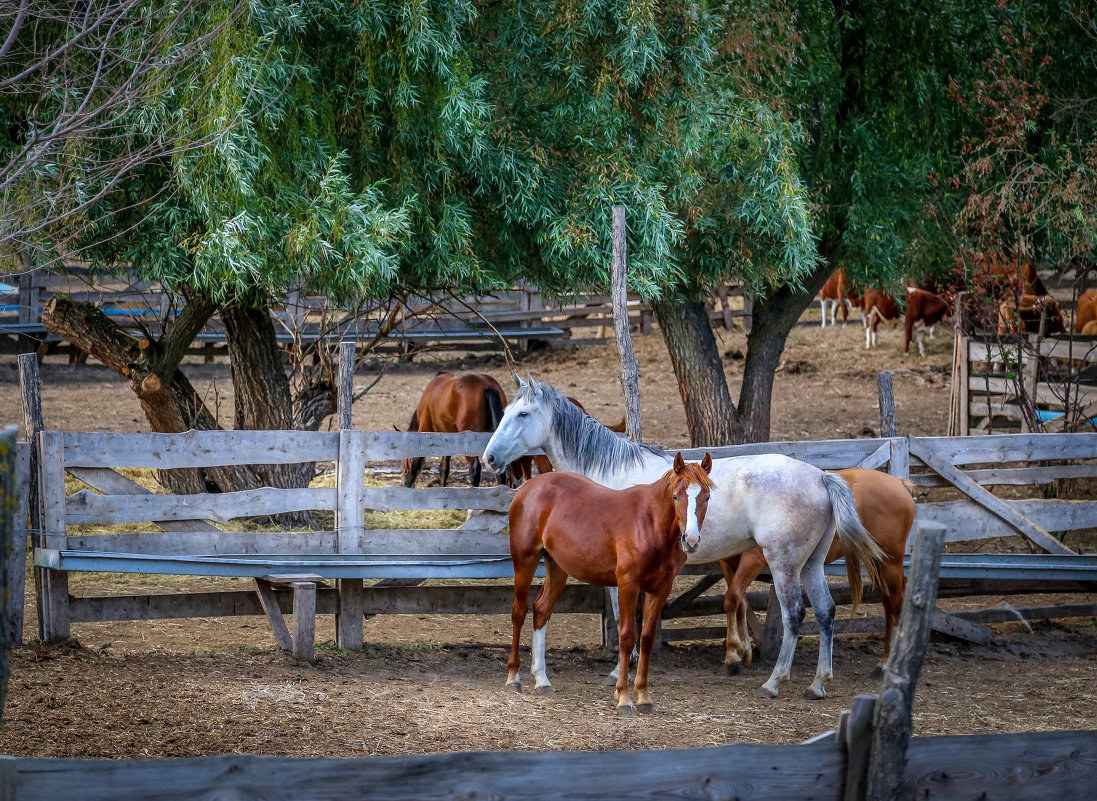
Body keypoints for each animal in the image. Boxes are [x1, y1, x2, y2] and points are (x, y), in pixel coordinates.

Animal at [502, 452, 715, 715]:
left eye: (706, 497)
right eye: (676, 496)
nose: (691, 540)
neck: (650, 524)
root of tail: (528, 487)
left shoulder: (660, 589)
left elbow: (646, 638)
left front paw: (644, 696)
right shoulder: (628, 585)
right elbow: (627, 637)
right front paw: (624, 697)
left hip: (558, 567)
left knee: (541, 610)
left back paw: (542, 680)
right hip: (525, 560)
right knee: (519, 612)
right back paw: (513, 678)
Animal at [719, 467, 917, 675]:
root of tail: (899, 483)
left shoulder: (753, 560)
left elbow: (731, 599)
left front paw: (732, 656)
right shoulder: (729, 565)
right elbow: (740, 603)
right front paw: (743, 651)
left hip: (890, 565)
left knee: (897, 606)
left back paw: (890, 664)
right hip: (879, 566)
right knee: (889, 606)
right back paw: (884, 662)